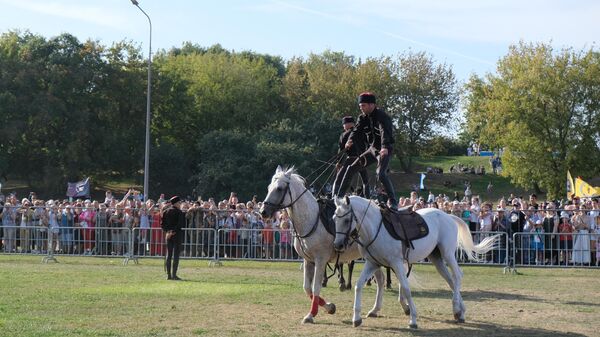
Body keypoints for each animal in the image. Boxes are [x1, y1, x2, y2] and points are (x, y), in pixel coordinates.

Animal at [258, 165, 384, 322]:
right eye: (269, 187)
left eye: (279, 188)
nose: (263, 211)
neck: (311, 220)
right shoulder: (308, 260)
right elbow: (307, 287)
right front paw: (329, 307)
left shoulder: (320, 260)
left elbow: (316, 287)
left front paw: (311, 314)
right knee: (381, 279)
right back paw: (375, 309)